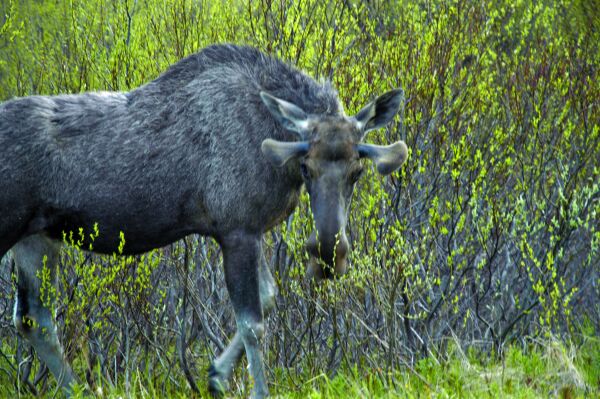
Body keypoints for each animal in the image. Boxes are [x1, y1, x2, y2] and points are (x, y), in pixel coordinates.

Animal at [0, 43, 408, 399]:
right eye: (306, 167)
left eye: (357, 171)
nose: (327, 252)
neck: (273, 135)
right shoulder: (237, 229)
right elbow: (252, 322)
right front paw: (255, 390)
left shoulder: (250, 231)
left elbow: (268, 296)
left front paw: (216, 375)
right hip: (11, 229)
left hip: (37, 237)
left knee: (33, 318)